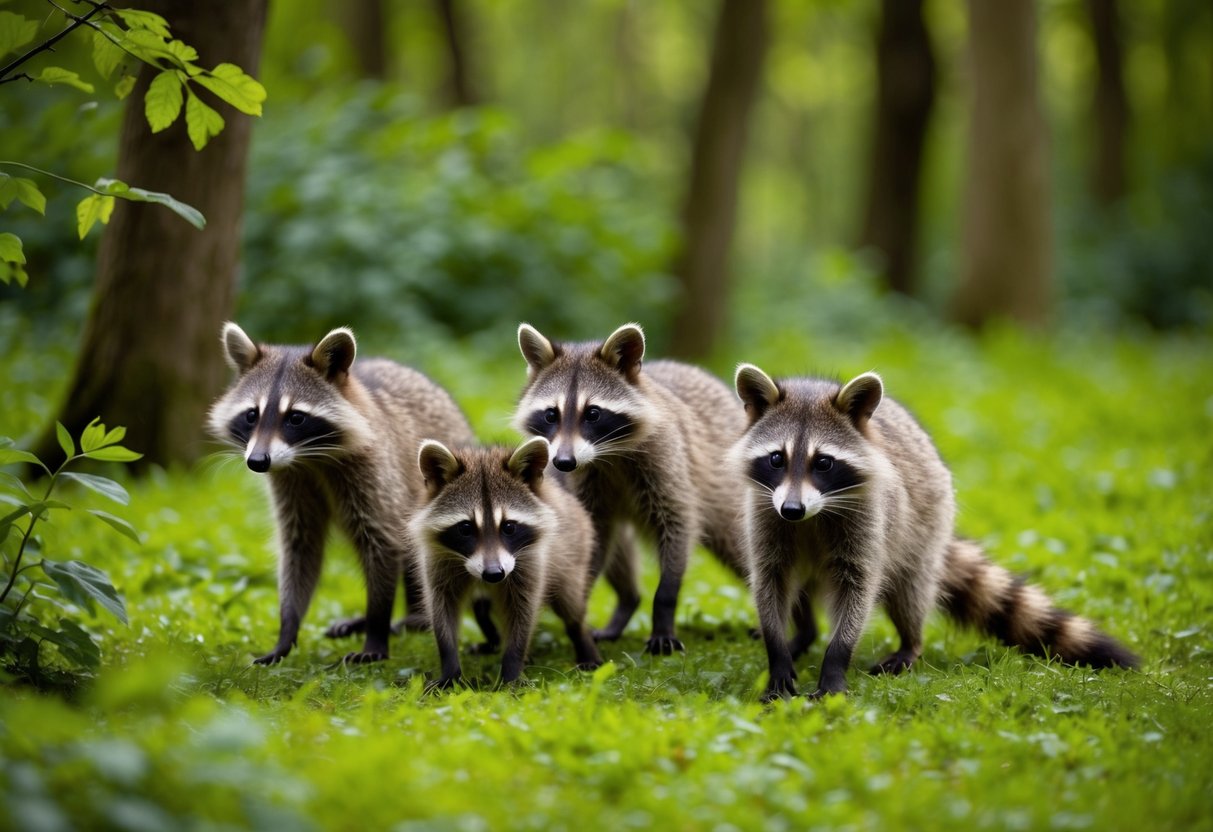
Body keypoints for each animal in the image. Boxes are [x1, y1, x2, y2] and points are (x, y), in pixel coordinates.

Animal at [208, 323, 475, 665]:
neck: (308, 459)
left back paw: (413, 616)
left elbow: (382, 542)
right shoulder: (291, 483)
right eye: (251, 414)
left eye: (296, 417)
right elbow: (300, 549)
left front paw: (376, 630)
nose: (257, 461)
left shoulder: (374, 476)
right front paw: (286, 631)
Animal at [410, 437, 602, 686]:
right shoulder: (438, 560)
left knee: (570, 603)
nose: (494, 574)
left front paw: (512, 670)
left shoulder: (531, 559)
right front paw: (449, 668)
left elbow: (523, 611)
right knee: (482, 607)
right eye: (465, 528)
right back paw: (492, 639)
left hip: (575, 551)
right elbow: (442, 607)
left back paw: (582, 640)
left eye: (509, 527)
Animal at [513, 323, 816, 656]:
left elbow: (678, 525)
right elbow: (590, 542)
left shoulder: (668, 464)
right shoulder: (586, 487)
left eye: (592, 413)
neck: (607, 454)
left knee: (745, 547)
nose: (563, 461)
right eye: (551, 414)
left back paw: (802, 625)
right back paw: (627, 601)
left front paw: (663, 612)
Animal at [732, 363, 1139, 700]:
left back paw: (910, 642)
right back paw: (803, 633)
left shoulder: (867, 522)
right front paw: (777, 654)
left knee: (909, 594)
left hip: (925, 528)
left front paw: (835, 662)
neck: (812, 517)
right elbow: (770, 581)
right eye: (777, 458)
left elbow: (858, 591)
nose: (792, 510)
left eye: (824, 463)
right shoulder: (765, 516)